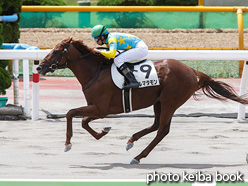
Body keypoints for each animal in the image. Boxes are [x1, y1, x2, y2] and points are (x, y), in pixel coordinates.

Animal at [36, 37, 248, 164]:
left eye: (56, 51)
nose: (39, 67)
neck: (95, 73)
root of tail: (191, 70)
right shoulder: (98, 109)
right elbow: (83, 121)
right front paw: (104, 131)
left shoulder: (101, 108)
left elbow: (71, 113)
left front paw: (67, 144)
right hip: (158, 102)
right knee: (155, 125)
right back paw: (131, 141)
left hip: (170, 101)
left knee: (162, 130)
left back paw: (138, 157)